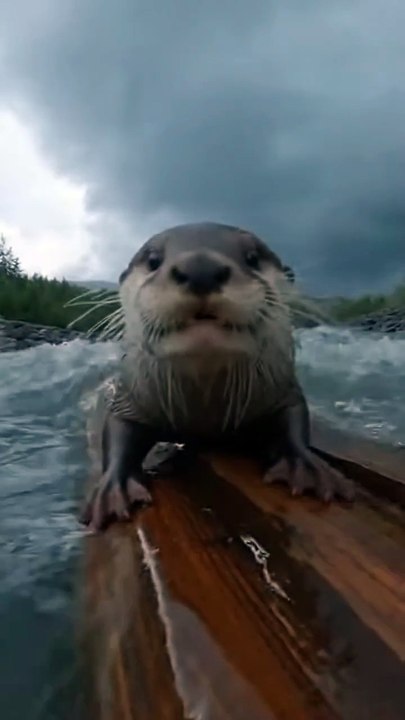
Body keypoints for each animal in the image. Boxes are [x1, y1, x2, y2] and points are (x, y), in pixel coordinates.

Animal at [81, 222, 354, 530]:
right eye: (153, 260)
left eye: (252, 257)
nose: (200, 267)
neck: (205, 417)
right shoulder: (133, 397)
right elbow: (118, 429)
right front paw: (114, 488)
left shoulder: (282, 389)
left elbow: (294, 418)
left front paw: (306, 465)